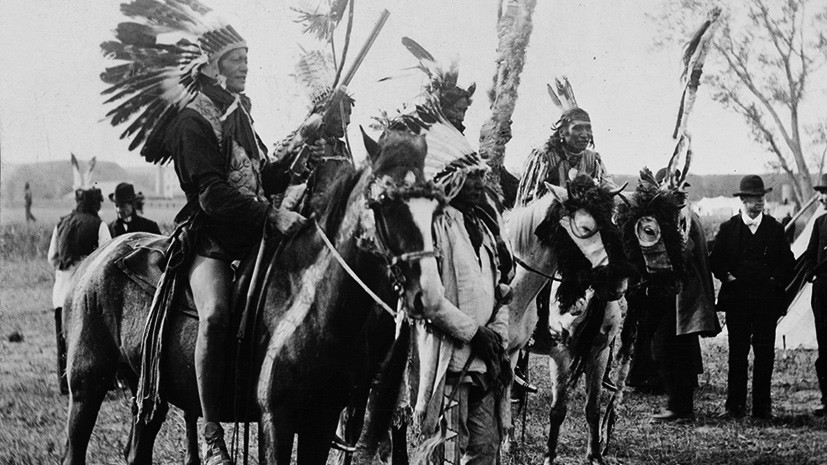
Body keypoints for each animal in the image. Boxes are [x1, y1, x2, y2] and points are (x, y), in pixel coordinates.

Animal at [61, 130, 446, 465]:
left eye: (435, 206)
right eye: (384, 203)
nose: (428, 295)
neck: (309, 304)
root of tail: (92, 261)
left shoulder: (321, 421)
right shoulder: (276, 420)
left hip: (148, 390)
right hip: (87, 385)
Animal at [502, 176, 633, 465]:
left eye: (614, 223)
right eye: (585, 228)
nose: (619, 282)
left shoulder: (598, 353)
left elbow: (593, 408)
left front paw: (595, 455)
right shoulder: (561, 355)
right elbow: (558, 410)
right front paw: (550, 456)